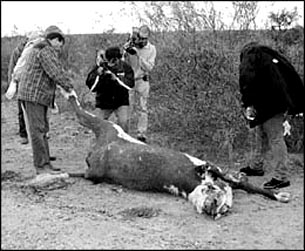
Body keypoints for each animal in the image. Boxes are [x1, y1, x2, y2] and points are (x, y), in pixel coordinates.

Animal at [60, 88, 290, 220]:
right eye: (212, 198)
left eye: (221, 208)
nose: (210, 206)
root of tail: (95, 153)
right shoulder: (211, 171)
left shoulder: (226, 181)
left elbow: (253, 187)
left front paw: (279, 195)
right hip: (107, 127)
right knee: (79, 111)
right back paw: (67, 90)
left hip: (101, 150)